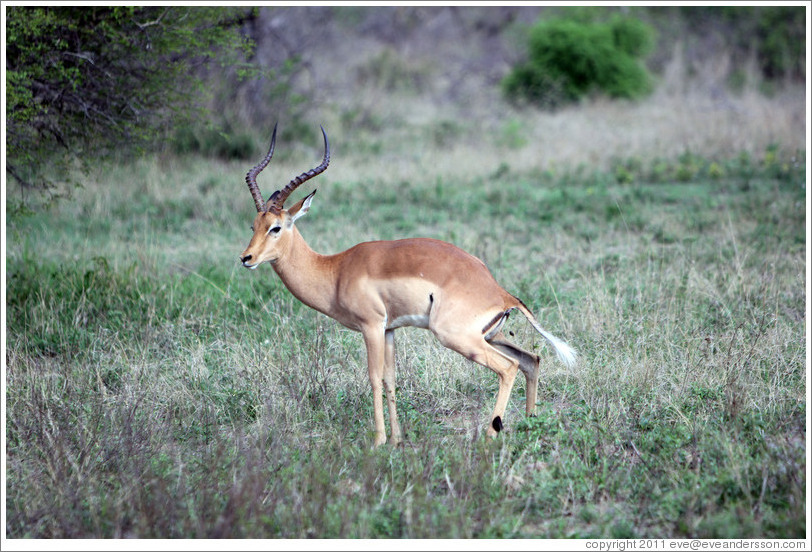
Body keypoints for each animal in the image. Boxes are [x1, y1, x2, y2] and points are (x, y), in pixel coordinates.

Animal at [239, 124, 576, 446]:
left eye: (276, 227)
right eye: (253, 225)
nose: (246, 258)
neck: (336, 270)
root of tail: (501, 292)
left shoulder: (372, 326)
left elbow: (374, 378)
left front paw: (378, 441)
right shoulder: (389, 329)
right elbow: (391, 379)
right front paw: (397, 439)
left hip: (458, 337)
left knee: (508, 367)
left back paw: (492, 434)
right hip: (490, 336)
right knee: (531, 359)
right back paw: (530, 424)